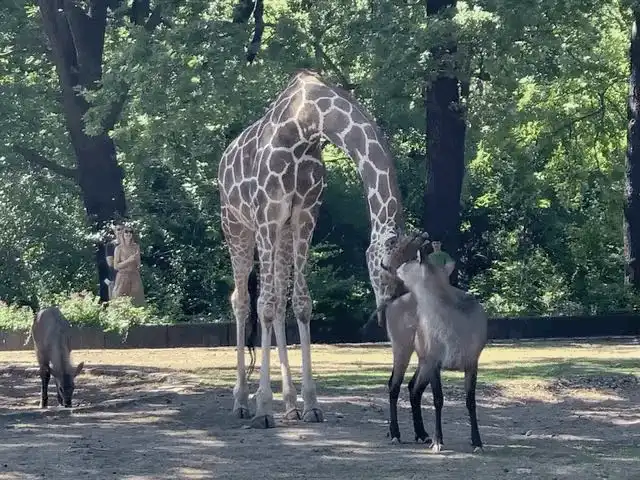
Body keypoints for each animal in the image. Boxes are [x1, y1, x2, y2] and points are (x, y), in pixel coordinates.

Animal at [218, 69, 409, 428]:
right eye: (383, 268)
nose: (388, 316)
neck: (306, 122)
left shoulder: (305, 214)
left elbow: (301, 303)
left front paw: (310, 404)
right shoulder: (268, 213)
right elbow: (264, 305)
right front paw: (263, 407)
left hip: (282, 234)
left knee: (280, 299)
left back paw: (290, 405)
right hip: (237, 226)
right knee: (242, 300)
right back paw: (240, 402)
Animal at [378, 235, 487, 453]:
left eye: (410, 260)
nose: (391, 267)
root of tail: (393, 303)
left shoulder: (472, 362)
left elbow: (471, 401)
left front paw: (477, 442)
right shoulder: (435, 360)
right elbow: (438, 399)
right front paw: (438, 441)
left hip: (422, 359)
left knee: (413, 387)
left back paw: (422, 434)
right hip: (402, 348)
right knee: (394, 384)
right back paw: (396, 434)